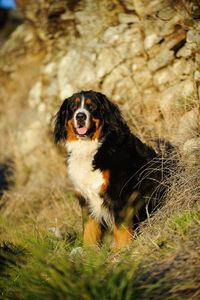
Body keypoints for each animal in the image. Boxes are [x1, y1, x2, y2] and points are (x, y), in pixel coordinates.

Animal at [54, 90, 172, 250]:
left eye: (91, 106)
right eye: (73, 107)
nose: (80, 116)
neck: (90, 149)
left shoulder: (119, 195)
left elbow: (121, 229)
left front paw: (121, 251)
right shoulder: (86, 200)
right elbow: (89, 231)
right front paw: (89, 252)